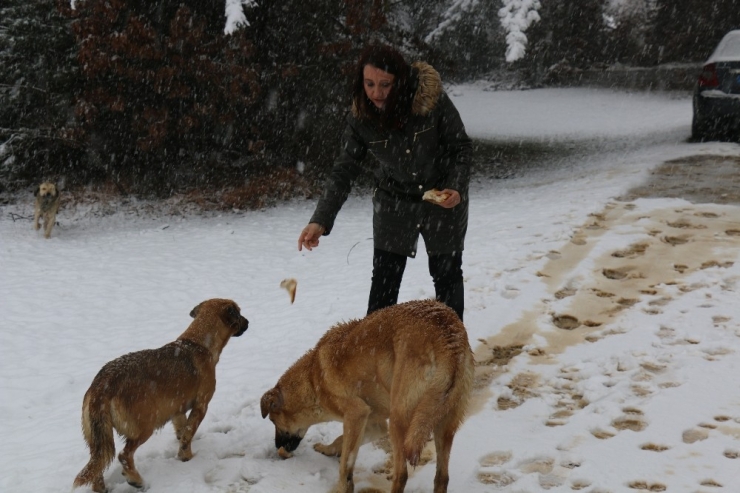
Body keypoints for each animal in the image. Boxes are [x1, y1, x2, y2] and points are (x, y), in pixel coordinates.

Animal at [73, 298, 250, 490]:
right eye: (239, 313)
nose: (248, 322)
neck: (198, 343)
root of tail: (101, 387)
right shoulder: (201, 406)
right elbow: (188, 434)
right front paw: (186, 457)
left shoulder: (177, 410)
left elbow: (182, 432)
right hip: (144, 427)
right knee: (124, 455)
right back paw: (135, 480)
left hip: (98, 438)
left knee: (97, 465)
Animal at [260, 298, 474, 490]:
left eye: (273, 421)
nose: (277, 448)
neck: (313, 378)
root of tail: (447, 336)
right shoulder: (373, 424)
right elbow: (340, 441)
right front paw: (327, 450)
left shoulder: (356, 413)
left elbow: (345, 465)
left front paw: (343, 484)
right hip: (443, 424)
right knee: (442, 477)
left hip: (400, 421)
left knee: (401, 475)